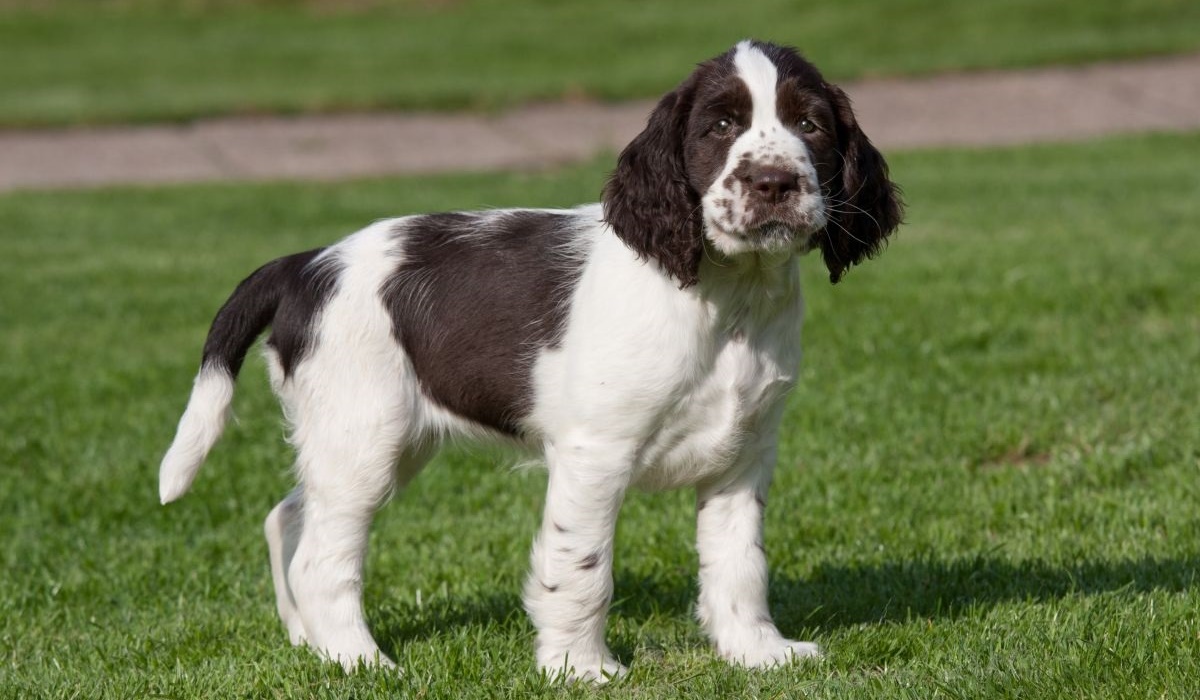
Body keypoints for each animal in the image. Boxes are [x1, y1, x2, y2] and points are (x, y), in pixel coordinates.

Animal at [164, 41, 902, 681]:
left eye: (809, 124)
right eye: (720, 126)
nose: (774, 182)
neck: (724, 296)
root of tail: (305, 265)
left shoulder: (745, 453)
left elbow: (739, 563)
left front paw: (757, 653)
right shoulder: (596, 453)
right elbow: (582, 568)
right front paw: (581, 668)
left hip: (376, 439)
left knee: (289, 517)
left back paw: (308, 644)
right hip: (364, 436)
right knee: (321, 558)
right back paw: (361, 661)